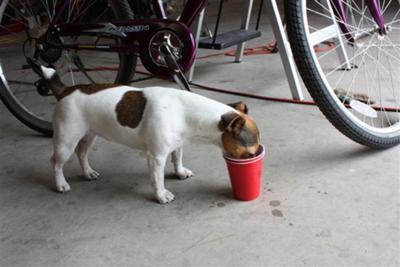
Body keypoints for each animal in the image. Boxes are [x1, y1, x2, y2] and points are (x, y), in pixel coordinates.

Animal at [39, 66, 260, 204]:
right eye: (250, 154)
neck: (185, 112)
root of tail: (66, 91)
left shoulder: (177, 145)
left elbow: (177, 159)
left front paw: (180, 172)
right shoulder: (157, 157)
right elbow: (157, 178)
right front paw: (161, 195)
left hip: (89, 135)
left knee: (82, 153)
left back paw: (88, 173)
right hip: (66, 141)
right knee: (55, 163)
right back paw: (61, 184)